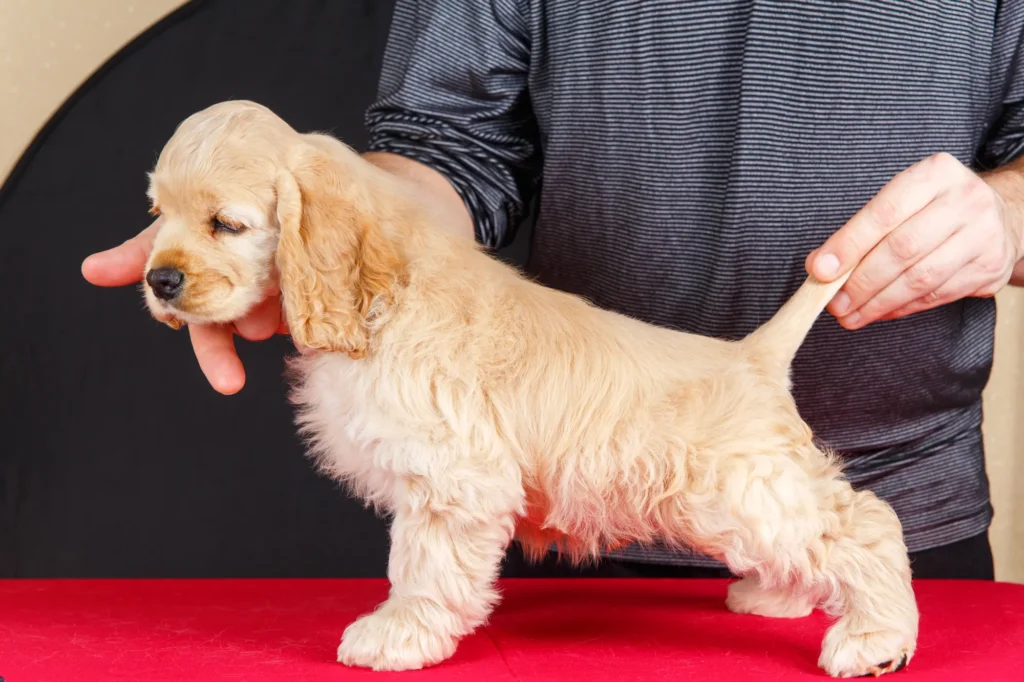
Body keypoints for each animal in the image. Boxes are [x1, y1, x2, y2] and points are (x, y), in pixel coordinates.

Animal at [138, 99, 921, 675]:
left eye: (226, 224)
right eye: (156, 217)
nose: (159, 279)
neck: (382, 294)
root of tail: (753, 358)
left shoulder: (451, 477)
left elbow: (421, 564)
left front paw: (399, 634)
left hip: (746, 491)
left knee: (866, 527)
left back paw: (875, 639)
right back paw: (780, 596)